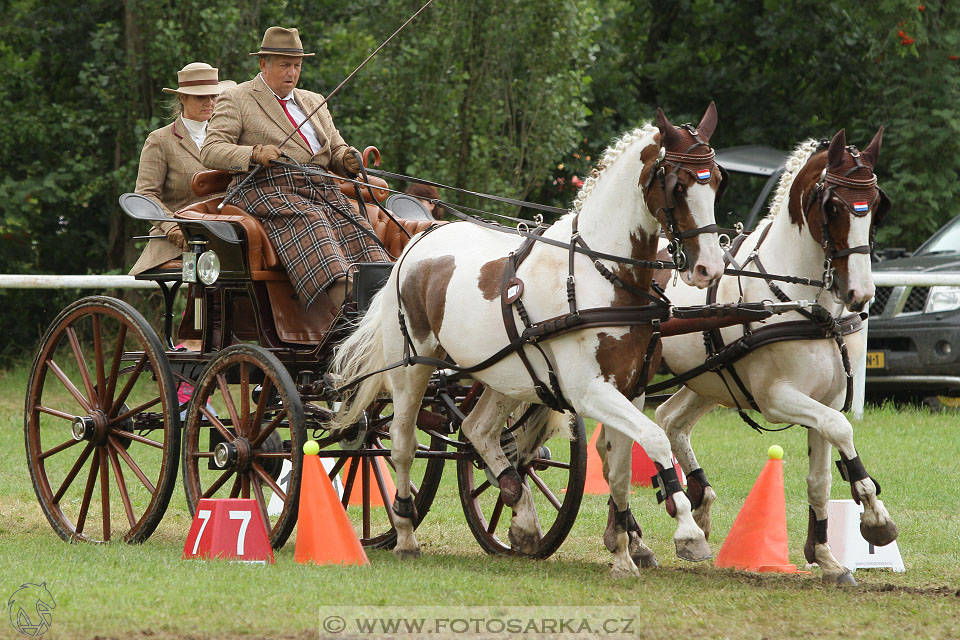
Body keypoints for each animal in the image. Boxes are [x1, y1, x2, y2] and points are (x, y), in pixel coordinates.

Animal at [334, 105, 724, 564]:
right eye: (678, 184)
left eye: (717, 181)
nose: (710, 268)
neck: (601, 274)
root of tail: (418, 243)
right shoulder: (588, 391)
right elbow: (655, 438)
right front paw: (686, 530)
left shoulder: (632, 389)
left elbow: (621, 467)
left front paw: (624, 546)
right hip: (410, 369)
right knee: (401, 443)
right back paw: (406, 529)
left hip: (505, 373)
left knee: (480, 432)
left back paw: (520, 512)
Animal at [648, 127, 896, 584]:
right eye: (834, 206)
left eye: (874, 205)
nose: (860, 293)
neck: (808, 305)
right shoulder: (778, 398)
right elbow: (842, 429)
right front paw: (875, 518)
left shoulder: (824, 400)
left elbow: (820, 477)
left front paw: (826, 557)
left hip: (708, 377)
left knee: (669, 419)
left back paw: (698, 505)